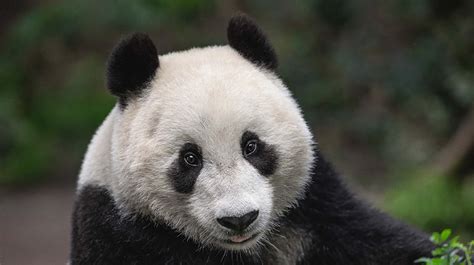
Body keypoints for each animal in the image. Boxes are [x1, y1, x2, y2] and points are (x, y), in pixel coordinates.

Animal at [69, 14, 434, 264]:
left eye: (252, 146)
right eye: (190, 158)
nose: (239, 219)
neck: (243, 251)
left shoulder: (318, 210)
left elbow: (387, 244)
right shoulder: (119, 232)